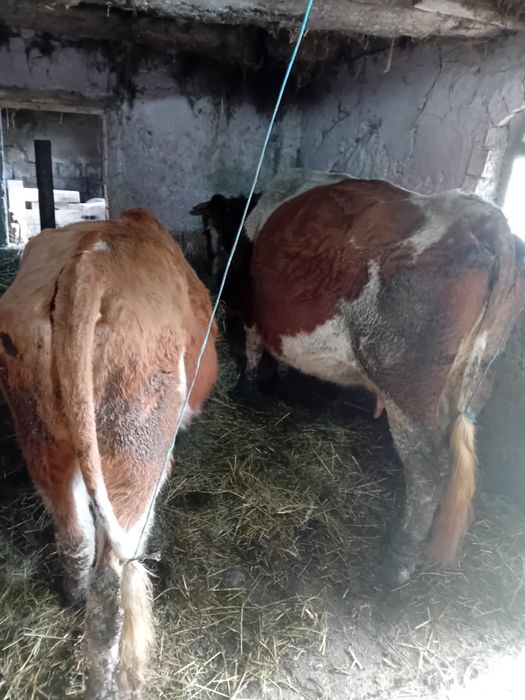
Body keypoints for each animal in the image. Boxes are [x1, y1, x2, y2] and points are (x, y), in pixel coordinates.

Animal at [0, 209, 218, 699]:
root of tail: (91, 265)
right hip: (138, 448)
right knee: (111, 581)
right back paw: (116, 681)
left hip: (39, 434)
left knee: (74, 536)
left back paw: (72, 596)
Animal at [191, 169, 525, 587]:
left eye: (209, 230)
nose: (212, 272)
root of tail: (484, 219)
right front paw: (282, 378)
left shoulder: (252, 305)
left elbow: (253, 347)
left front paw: (246, 388)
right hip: (475, 381)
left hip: (407, 387)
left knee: (429, 469)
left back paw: (398, 563)